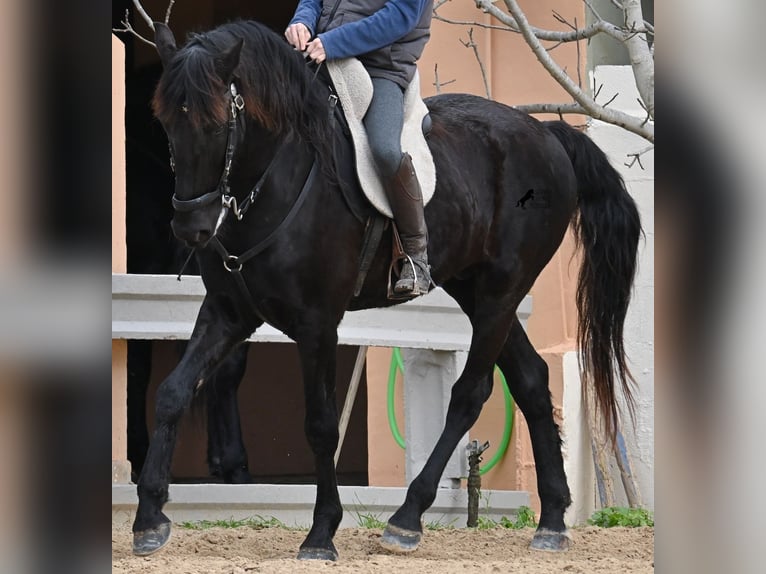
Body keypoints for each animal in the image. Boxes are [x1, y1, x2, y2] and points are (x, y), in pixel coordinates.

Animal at [132, 19, 641, 560]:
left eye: (216, 125)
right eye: (166, 124)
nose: (190, 228)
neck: (277, 181)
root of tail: (546, 134)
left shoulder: (317, 324)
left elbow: (321, 424)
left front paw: (321, 532)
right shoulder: (229, 313)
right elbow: (172, 392)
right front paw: (148, 519)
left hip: (503, 292)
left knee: (471, 393)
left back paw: (408, 518)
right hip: (477, 291)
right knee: (530, 381)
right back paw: (552, 521)